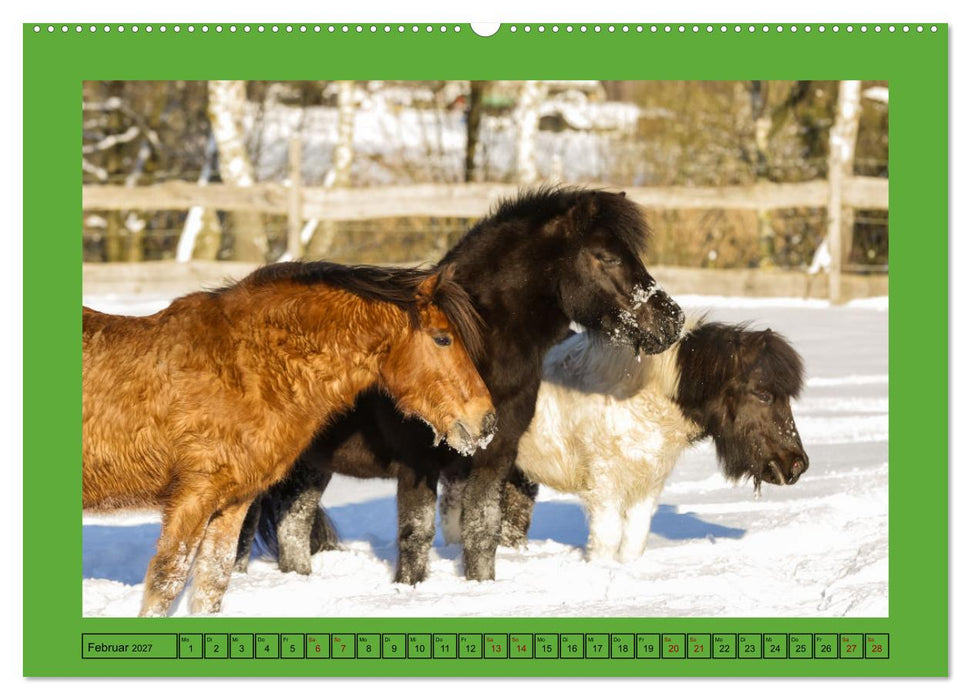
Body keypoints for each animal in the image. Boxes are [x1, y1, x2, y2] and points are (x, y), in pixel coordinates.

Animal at [82, 262, 495, 616]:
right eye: (443, 339)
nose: (487, 421)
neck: (244, 368)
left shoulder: (231, 503)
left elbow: (213, 583)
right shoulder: (192, 498)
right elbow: (166, 583)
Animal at [236, 186, 685, 583]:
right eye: (606, 257)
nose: (672, 321)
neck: (480, 349)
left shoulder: (496, 456)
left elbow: (483, 530)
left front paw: (480, 586)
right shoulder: (417, 463)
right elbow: (416, 535)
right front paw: (409, 589)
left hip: (309, 466)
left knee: (292, 528)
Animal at [440, 319, 809, 562]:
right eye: (763, 394)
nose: (797, 466)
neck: (644, 398)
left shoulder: (647, 486)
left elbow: (634, 541)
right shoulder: (605, 489)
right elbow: (606, 541)